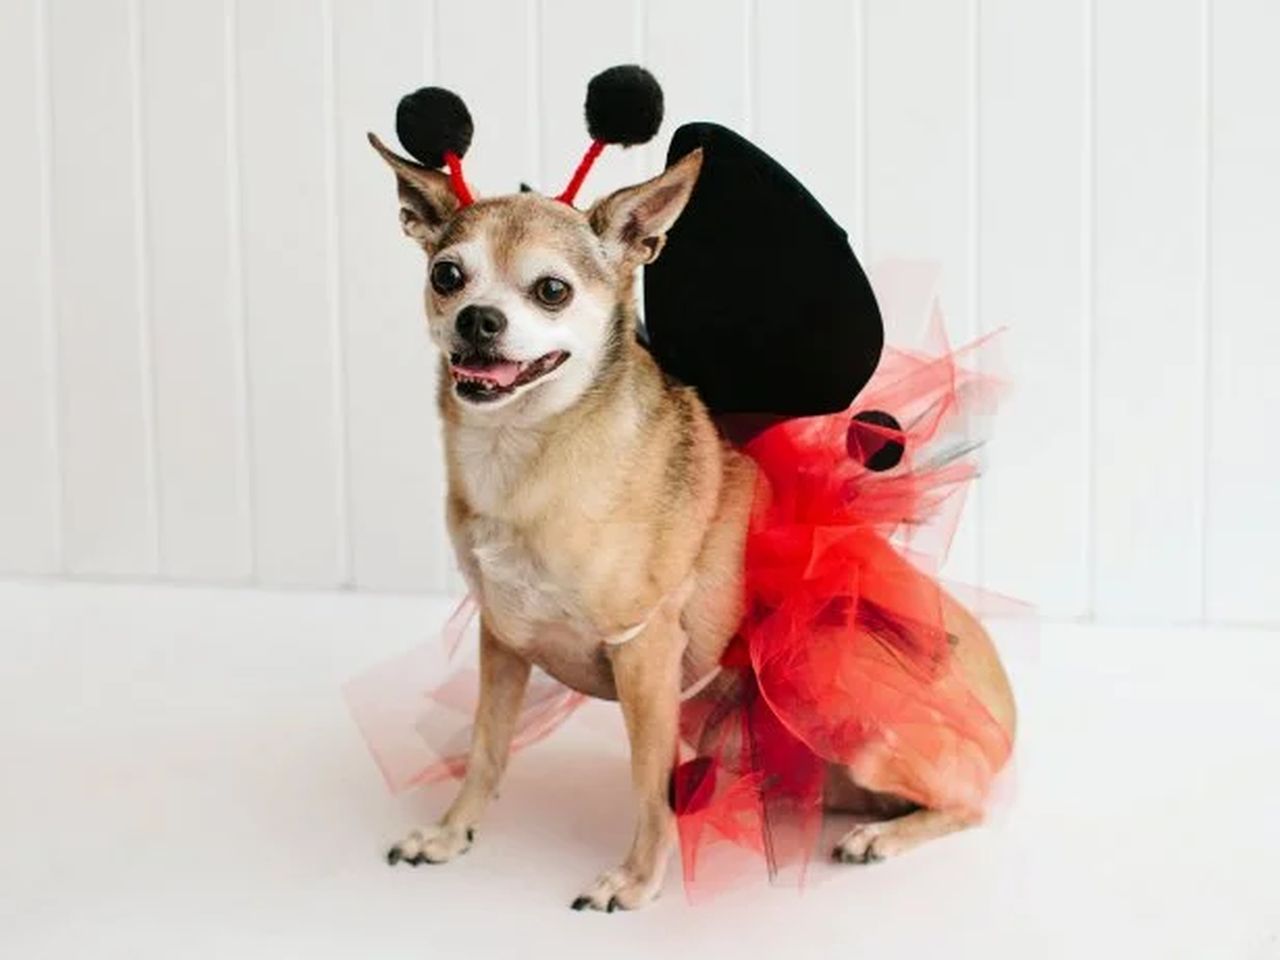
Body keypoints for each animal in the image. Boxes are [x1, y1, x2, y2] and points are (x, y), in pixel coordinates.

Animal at [366, 133, 1013, 911]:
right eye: (447, 275)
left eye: (552, 291)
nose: (477, 319)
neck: (522, 453)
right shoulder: (504, 639)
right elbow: (486, 749)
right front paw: (450, 833)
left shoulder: (644, 653)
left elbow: (649, 783)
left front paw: (635, 880)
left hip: (835, 683)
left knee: (968, 800)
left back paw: (878, 836)